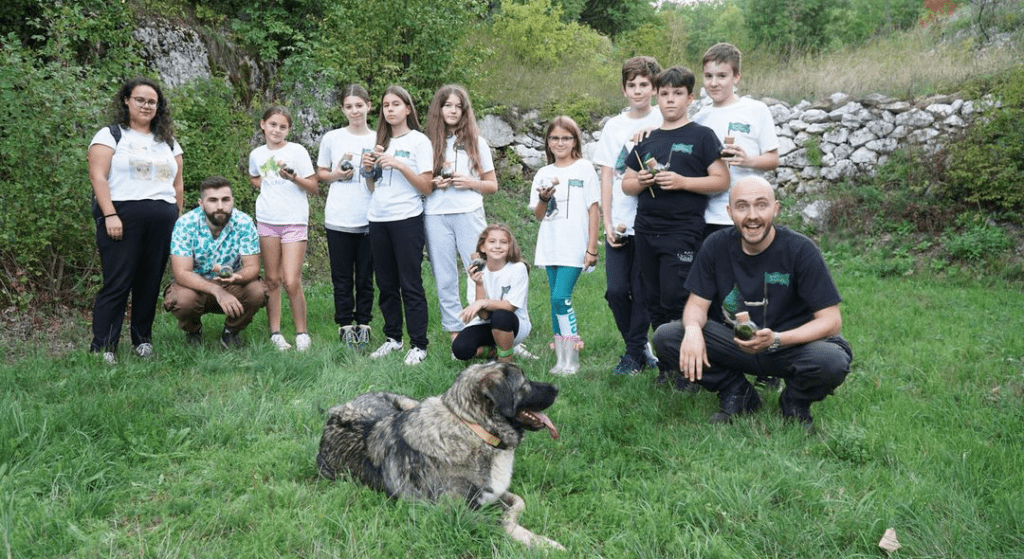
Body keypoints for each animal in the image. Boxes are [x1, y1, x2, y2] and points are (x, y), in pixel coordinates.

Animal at [315, 360, 565, 548]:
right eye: (525, 384)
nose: (557, 387)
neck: (473, 428)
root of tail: (336, 410)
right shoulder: (456, 513)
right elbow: (501, 524)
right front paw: (544, 543)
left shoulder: (494, 492)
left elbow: (519, 504)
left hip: (410, 404)